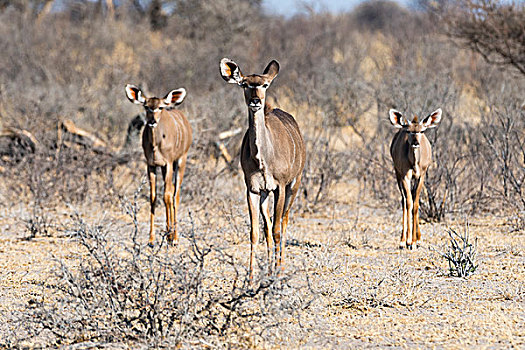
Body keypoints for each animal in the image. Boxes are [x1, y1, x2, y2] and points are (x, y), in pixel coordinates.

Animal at [125, 83, 192, 246]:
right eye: (146, 106)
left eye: (160, 107)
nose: (152, 121)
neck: (156, 145)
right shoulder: (151, 165)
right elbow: (153, 196)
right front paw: (151, 239)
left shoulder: (168, 162)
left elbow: (167, 196)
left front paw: (173, 237)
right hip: (164, 167)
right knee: (170, 191)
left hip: (181, 160)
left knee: (175, 194)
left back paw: (174, 236)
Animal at [218, 58, 308, 280]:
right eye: (244, 84)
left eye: (265, 85)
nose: (256, 101)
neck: (263, 159)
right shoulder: (253, 189)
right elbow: (256, 231)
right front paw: (251, 278)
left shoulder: (281, 187)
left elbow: (276, 229)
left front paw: (277, 271)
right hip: (267, 194)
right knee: (267, 225)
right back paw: (268, 268)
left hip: (294, 185)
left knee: (283, 221)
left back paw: (280, 266)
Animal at [386, 108, 440, 249]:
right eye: (409, 131)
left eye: (422, 131)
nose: (415, 143)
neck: (414, 163)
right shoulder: (405, 176)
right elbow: (409, 202)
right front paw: (409, 241)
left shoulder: (421, 176)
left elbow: (416, 203)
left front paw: (416, 241)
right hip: (397, 174)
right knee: (404, 201)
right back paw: (403, 240)